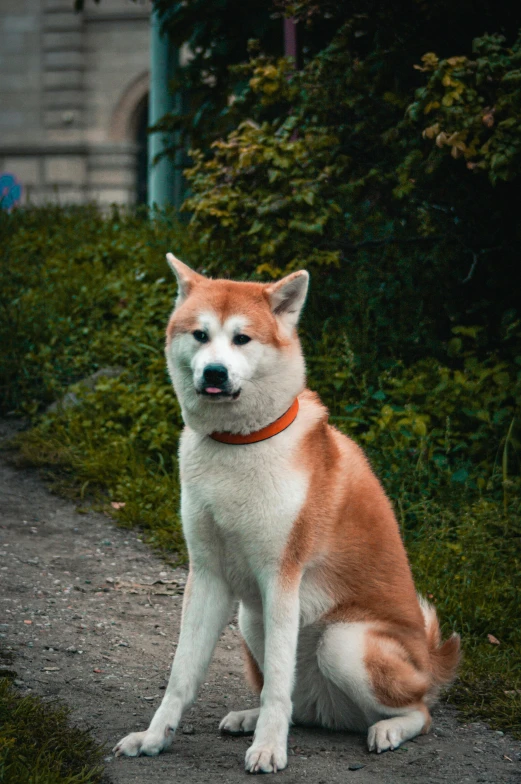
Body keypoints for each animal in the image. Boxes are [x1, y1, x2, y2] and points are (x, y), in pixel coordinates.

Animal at [114, 256, 460, 772]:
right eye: (200, 335)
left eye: (242, 338)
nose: (214, 372)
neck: (239, 444)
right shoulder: (207, 575)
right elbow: (182, 675)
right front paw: (155, 737)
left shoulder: (281, 578)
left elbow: (277, 684)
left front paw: (269, 748)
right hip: (250, 618)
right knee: (301, 706)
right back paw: (252, 717)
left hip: (343, 643)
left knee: (419, 711)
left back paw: (387, 729)